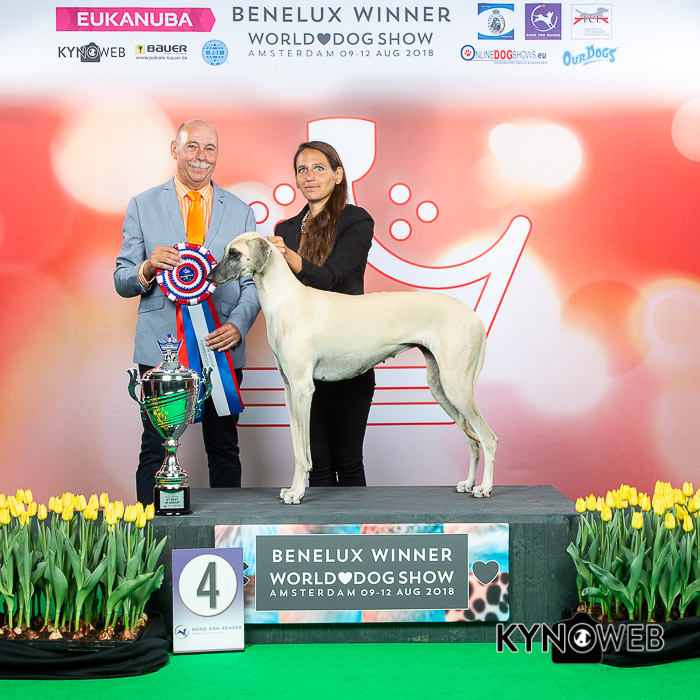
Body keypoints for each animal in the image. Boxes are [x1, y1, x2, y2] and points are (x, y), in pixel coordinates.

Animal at [207, 232, 497, 504]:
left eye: (234, 253)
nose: (210, 276)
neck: (286, 300)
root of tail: (475, 317)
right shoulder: (290, 391)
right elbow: (298, 447)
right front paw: (292, 489)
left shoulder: (303, 389)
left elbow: (303, 454)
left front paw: (297, 492)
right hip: (441, 387)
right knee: (473, 440)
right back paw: (468, 484)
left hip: (456, 386)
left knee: (488, 438)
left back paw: (484, 487)